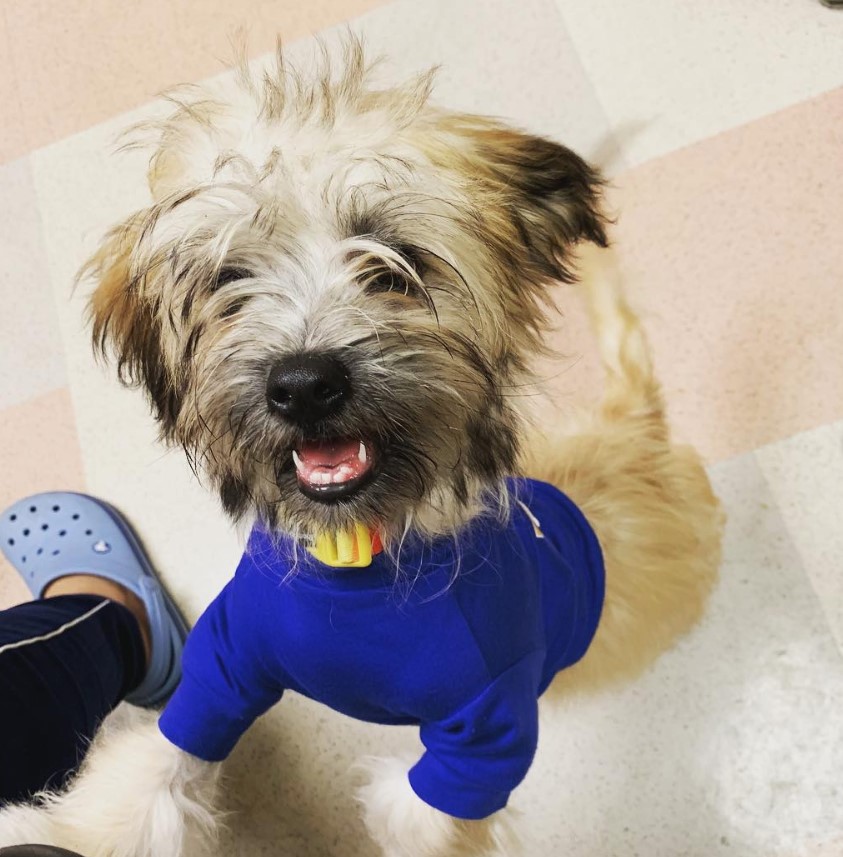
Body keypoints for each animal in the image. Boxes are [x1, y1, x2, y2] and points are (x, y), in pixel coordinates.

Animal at [0, 38, 724, 856]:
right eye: (229, 276)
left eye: (394, 263)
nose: (303, 384)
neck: (358, 563)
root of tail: (635, 427)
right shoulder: (221, 664)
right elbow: (150, 771)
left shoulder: (482, 739)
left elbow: (423, 814)